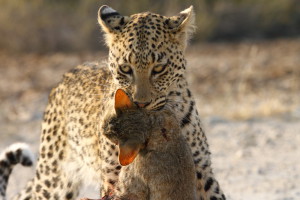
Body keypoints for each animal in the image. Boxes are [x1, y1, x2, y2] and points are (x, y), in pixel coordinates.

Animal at [0, 4, 225, 200]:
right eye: (125, 69)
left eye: (159, 68)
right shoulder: (115, 176)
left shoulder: (201, 169)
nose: (141, 104)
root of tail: (64, 78)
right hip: (54, 179)